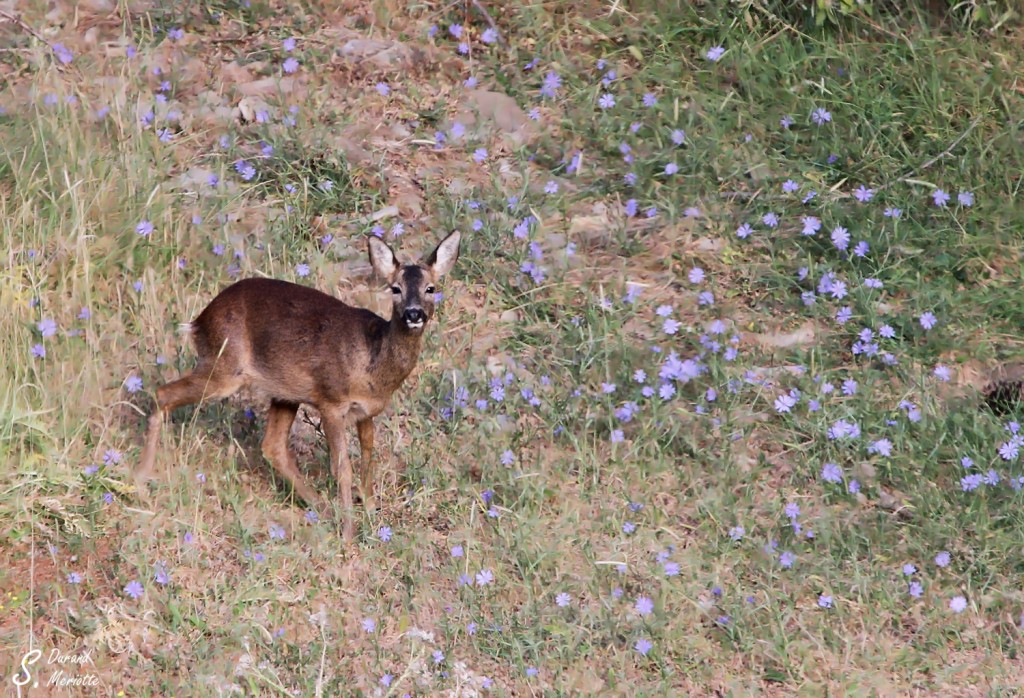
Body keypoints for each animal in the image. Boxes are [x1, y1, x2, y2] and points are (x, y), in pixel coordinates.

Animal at [135, 231, 460, 540]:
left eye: (431, 288)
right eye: (395, 288)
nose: (414, 314)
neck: (373, 361)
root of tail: (199, 321)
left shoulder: (367, 411)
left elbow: (368, 456)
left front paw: (369, 511)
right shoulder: (331, 402)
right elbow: (342, 468)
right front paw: (349, 533)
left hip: (283, 392)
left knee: (273, 447)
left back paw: (321, 509)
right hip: (224, 368)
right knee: (162, 393)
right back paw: (143, 476)